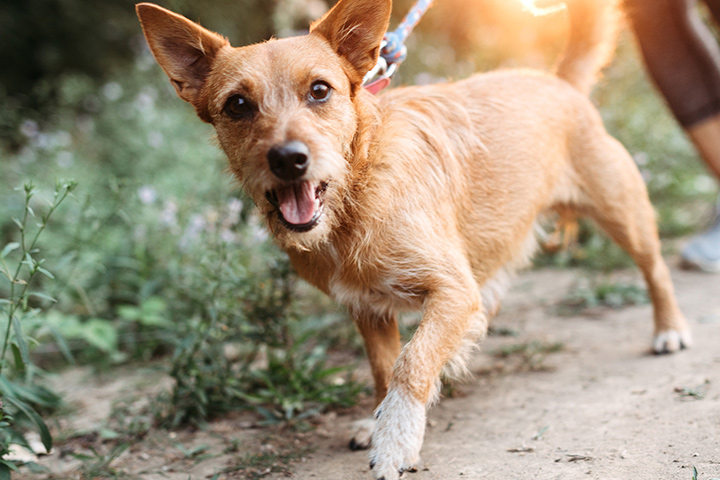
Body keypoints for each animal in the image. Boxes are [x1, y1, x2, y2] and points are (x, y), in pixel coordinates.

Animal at [136, 0, 692, 478]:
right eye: (237, 105)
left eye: (319, 91)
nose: (288, 159)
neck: (356, 195)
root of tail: (557, 82)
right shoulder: (368, 310)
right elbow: (385, 368)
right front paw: (382, 421)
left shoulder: (452, 292)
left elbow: (412, 362)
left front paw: (396, 439)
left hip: (622, 210)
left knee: (655, 268)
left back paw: (670, 328)